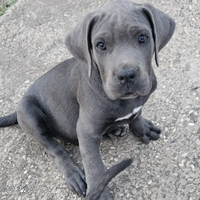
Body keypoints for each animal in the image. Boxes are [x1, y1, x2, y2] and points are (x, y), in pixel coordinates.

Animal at [0, 0, 174, 199]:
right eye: (100, 45)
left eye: (143, 38)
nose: (127, 75)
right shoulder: (86, 132)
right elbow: (94, 167)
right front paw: (100, 192)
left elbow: (137, 115)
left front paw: (142, 128)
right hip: (28, 112)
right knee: (53, 148)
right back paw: (74, 174)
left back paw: (114, 129)